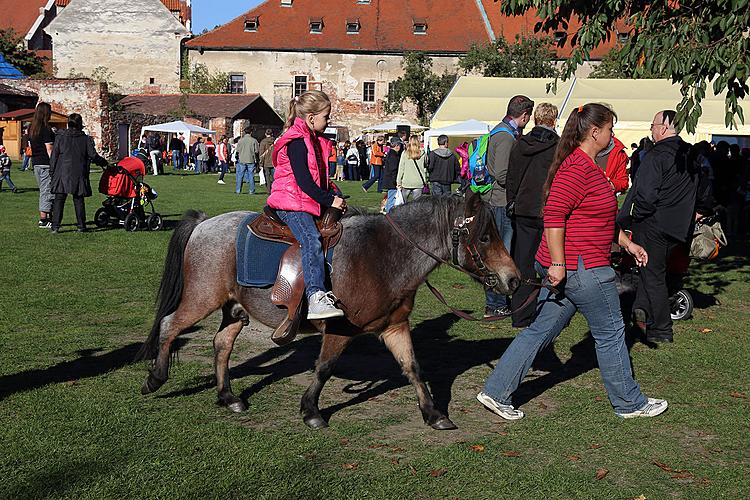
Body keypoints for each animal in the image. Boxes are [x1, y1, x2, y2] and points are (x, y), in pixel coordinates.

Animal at [138, 191, 520, 430]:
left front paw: (433, 414)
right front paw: (311, 412)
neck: (383, 255)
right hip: (202, 299)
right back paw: (156, 377)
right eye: (484, 237)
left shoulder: (395, 326)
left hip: (234, 308)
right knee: (171, 325)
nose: (514, 279)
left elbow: (413, 368)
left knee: (222, 345)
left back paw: (228, 396)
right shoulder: (341, 330)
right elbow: (324, 368)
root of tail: (204, 223)